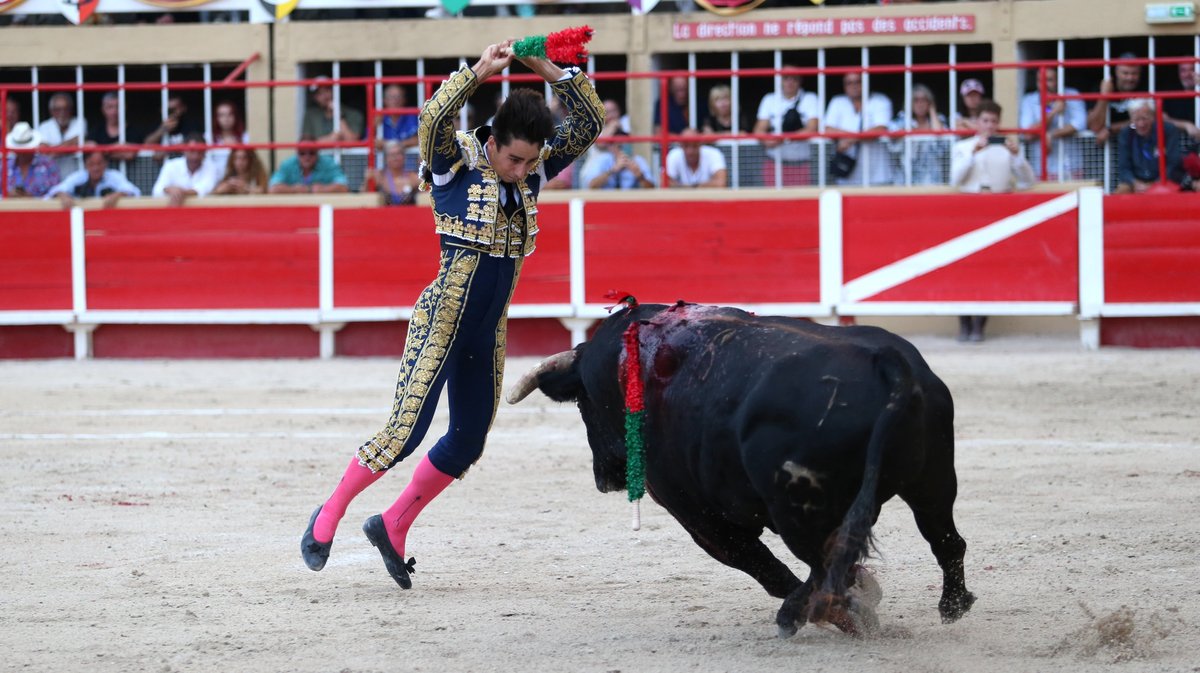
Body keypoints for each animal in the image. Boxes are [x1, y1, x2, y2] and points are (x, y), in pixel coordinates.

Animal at [506, 299, 974, 633]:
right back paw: (952, 605)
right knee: (945, 540)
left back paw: (807, 616)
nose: (604, 479)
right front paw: (865, 595)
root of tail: (888, 363)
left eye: (582, 403)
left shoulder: (698, 516)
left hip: (798, 509)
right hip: (933, 481)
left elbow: (761, 565)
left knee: (824, 566)